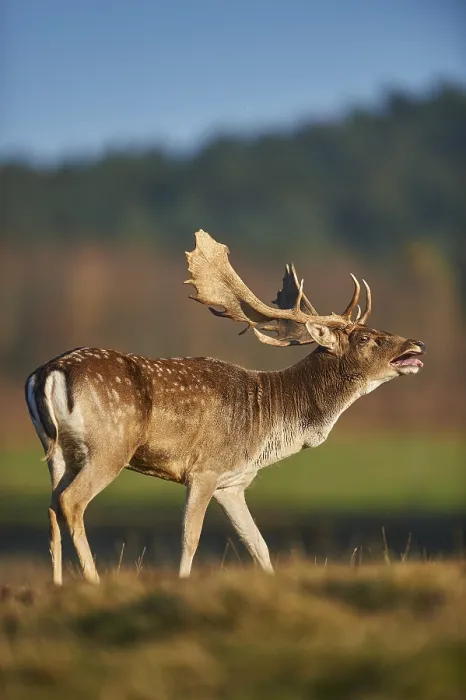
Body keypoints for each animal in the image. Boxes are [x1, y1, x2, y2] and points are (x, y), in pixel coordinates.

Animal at [25, 230, 425, 585]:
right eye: (367, 338)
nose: (416, 345)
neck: (268, 422)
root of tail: (46, 373)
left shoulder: (232, 484)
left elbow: (259, 546)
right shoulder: (205, 468)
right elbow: (190, 539)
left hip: (58, 449)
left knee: (52, 505)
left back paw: (58, 583)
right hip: (110, 446)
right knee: (72, 502)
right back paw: (92, 580)